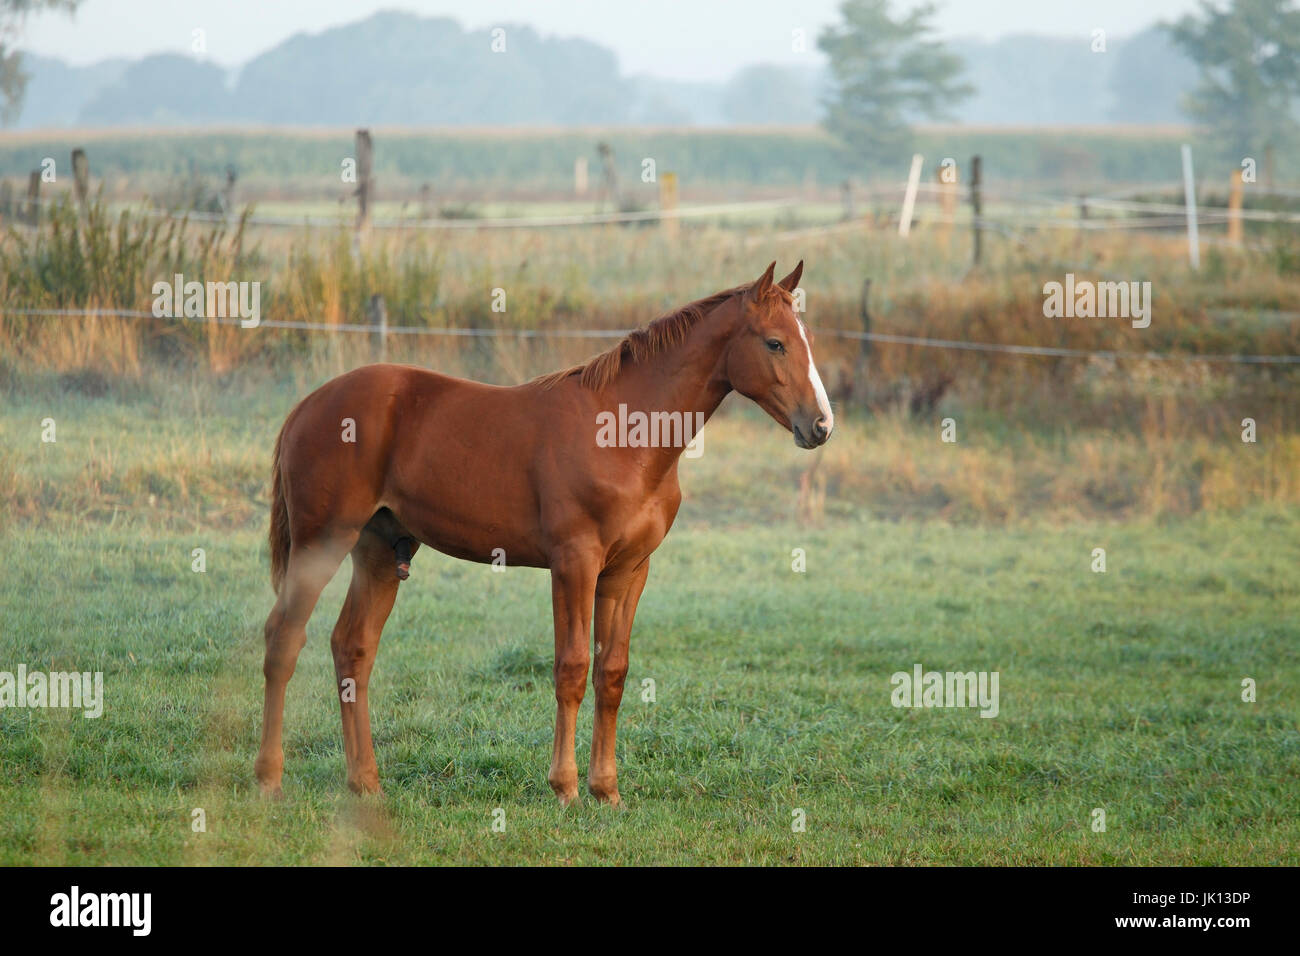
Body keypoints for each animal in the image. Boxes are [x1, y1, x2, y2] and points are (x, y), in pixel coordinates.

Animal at [256, 261, 832, 806]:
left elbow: (612, 673)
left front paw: (607, 791)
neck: (622, 432)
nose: (821, 426)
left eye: (806, 338)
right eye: (775, 342)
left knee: (352, 648)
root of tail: (306, 406)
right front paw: (566, 787)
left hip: (378, 551)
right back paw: (270, 779)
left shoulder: (628, 571)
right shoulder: (574, 563)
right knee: (284, 637)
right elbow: (572, 668)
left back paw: (366, 784)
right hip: (321, 541)